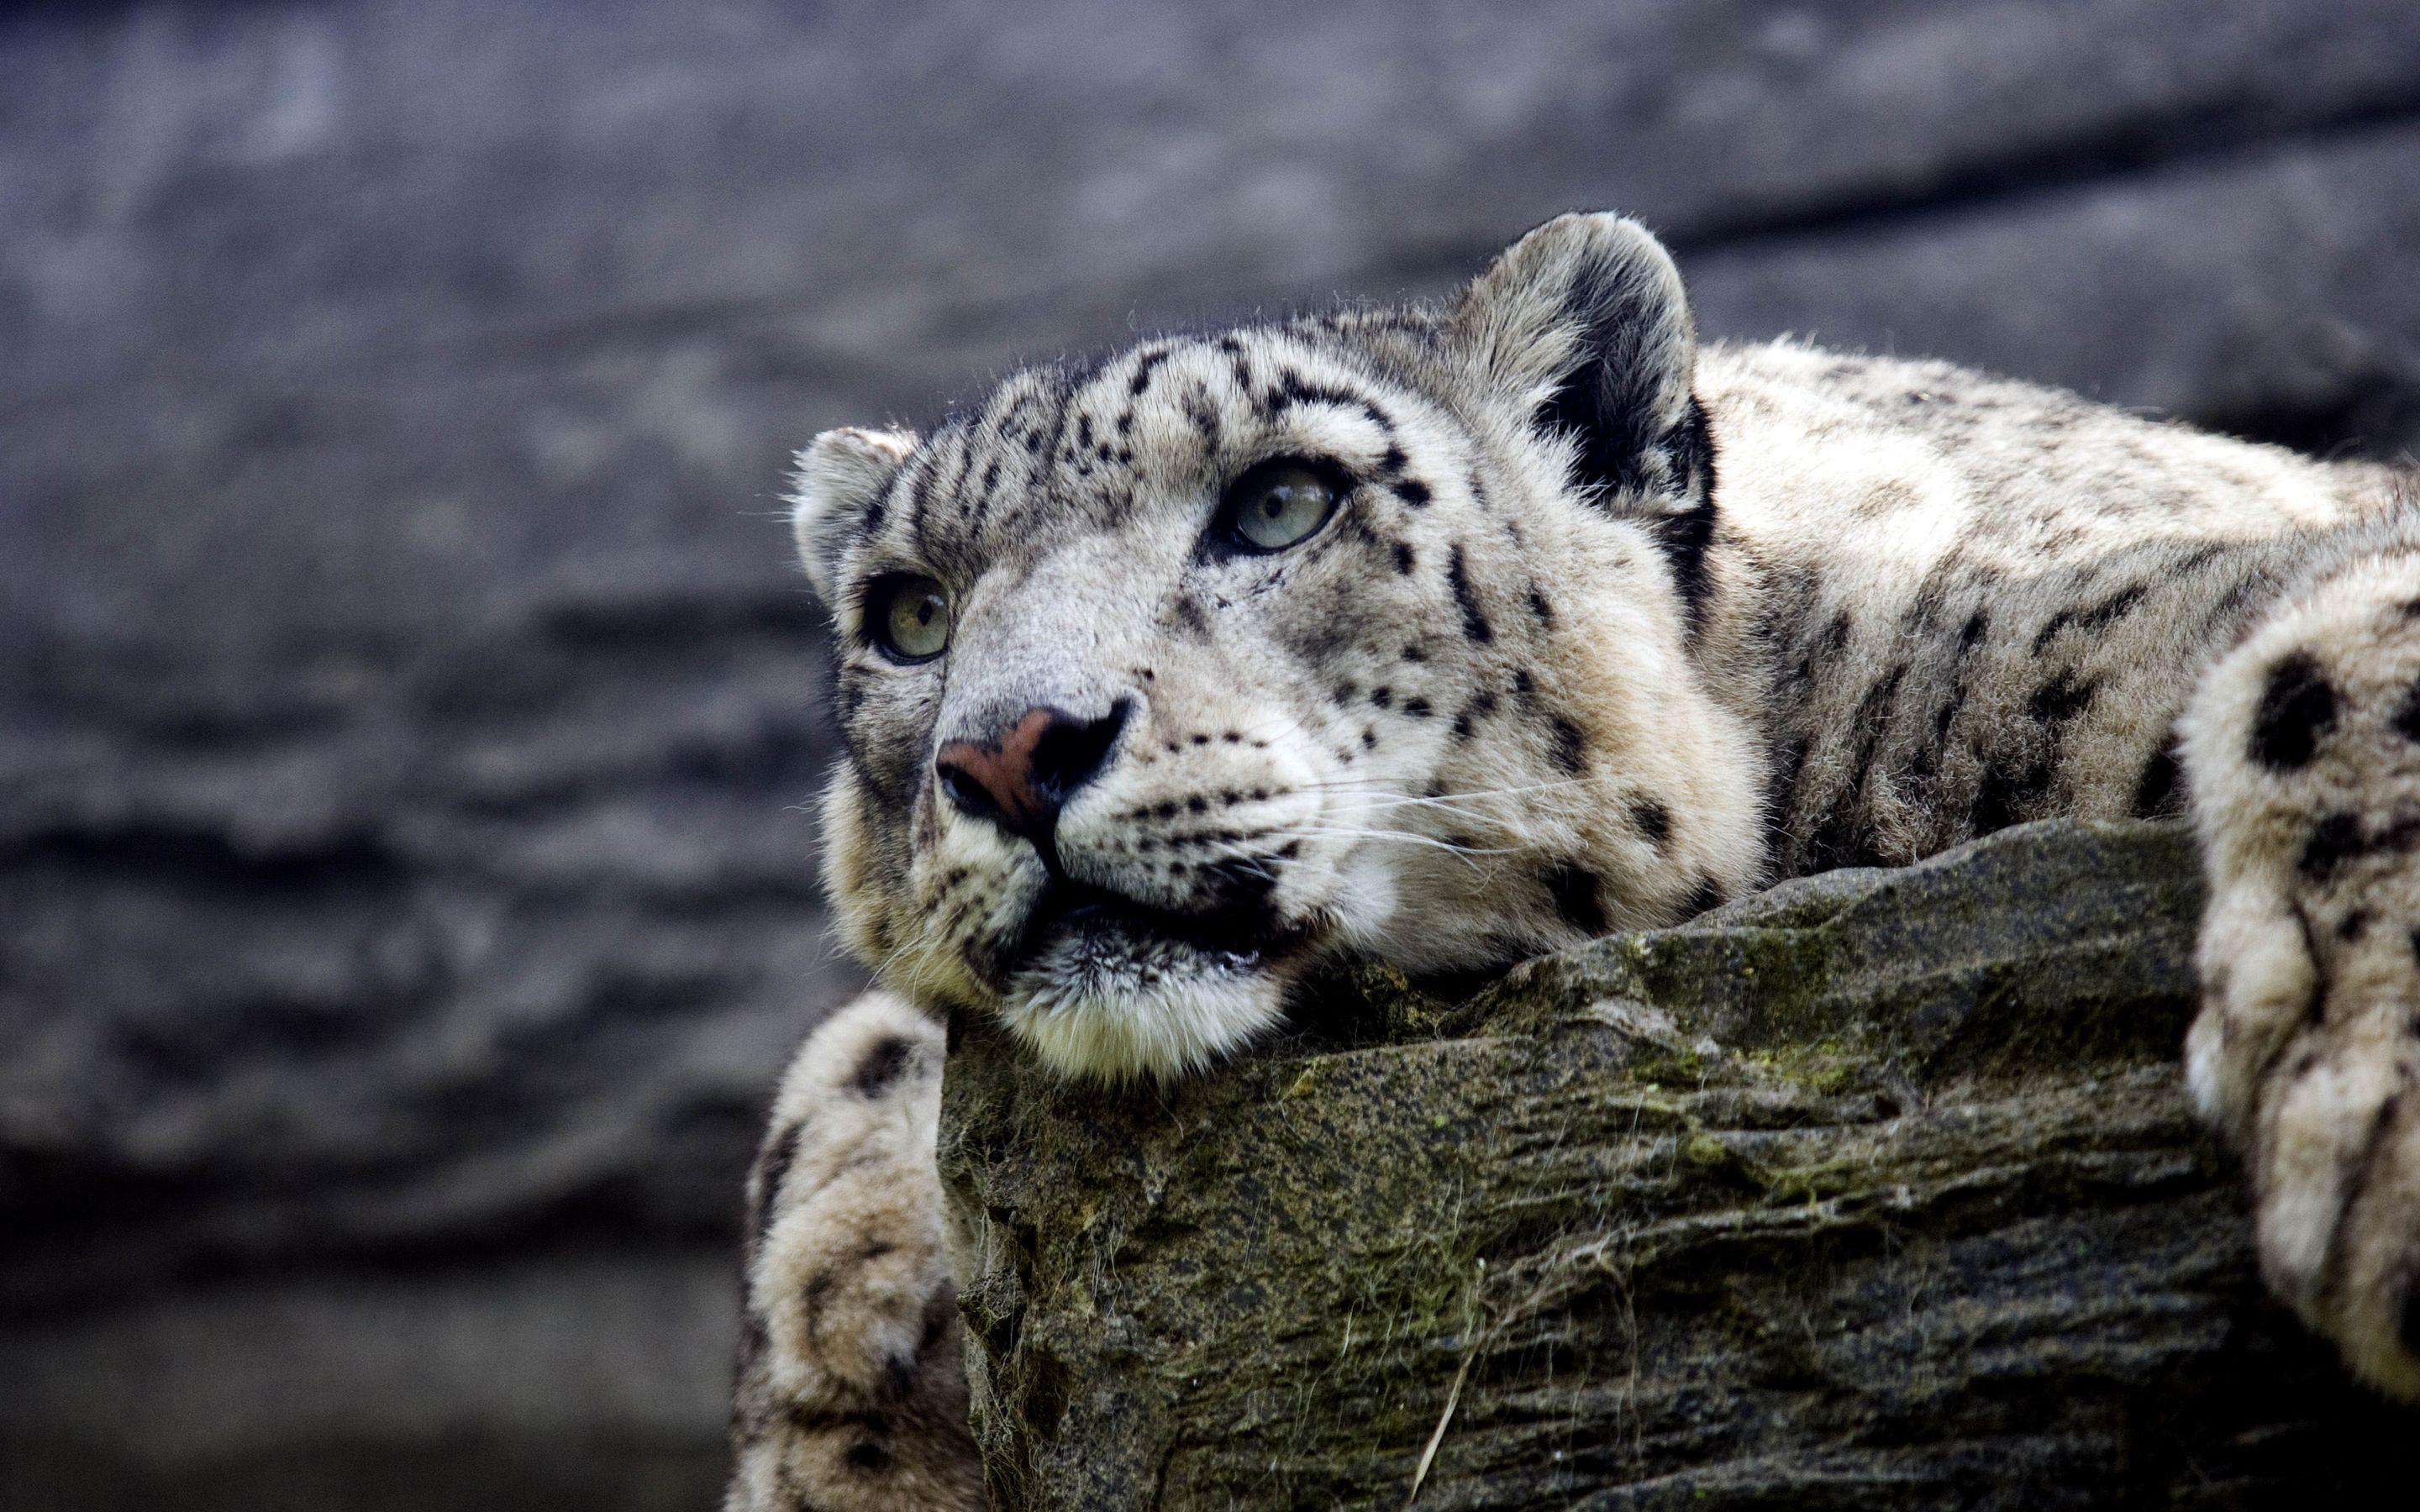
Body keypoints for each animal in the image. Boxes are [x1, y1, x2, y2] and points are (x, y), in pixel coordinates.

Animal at [725, 212, 2420, 1510]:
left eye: (1282, 500)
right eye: (911, 612)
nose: (1010, 751)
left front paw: (2382, 1140)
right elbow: (849, 1063)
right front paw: (838, 1439)